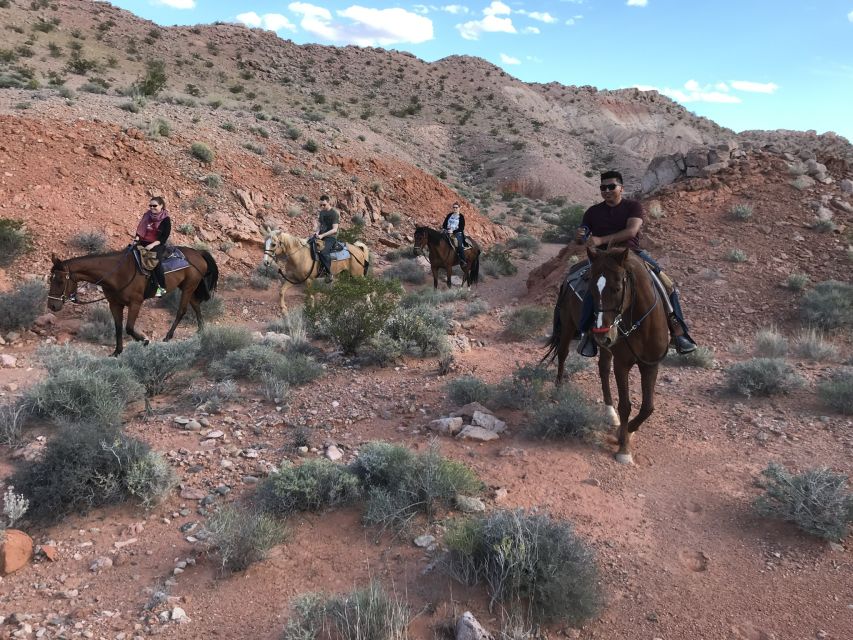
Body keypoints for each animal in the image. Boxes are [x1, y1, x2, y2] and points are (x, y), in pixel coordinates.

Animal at [47, 244, 218, 356]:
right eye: (50, 279)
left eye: (60, 281)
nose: (52, 306)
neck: (117, 274)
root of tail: (198, 253)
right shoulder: (114, 304)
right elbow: (118, 327)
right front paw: (117, 351)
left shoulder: (135, 303)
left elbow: (129, 327)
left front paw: (145, 341)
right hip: (187, 287)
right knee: (195, 305)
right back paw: (201, 330)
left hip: (189, 287)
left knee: (182, 310)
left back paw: (168, 336)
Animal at [544, 248, 668, 462]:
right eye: (591, 290)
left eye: (617, 288)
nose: (602, 333)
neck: (642, 326)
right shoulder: (622, 364)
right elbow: (625, 405)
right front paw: (623, 447)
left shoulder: (650, 364)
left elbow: (647, 407)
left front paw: (627, 432)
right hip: (568, 325)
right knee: (562, 354)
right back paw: (558, 390)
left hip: (605, 347)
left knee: (602, 368)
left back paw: (610, 413)